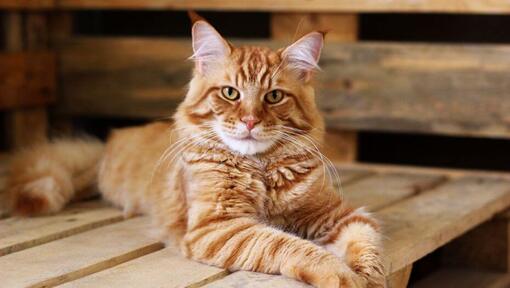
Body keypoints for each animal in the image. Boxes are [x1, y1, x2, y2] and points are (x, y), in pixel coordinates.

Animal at [5, 16, 384, 288]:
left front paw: (369, 277)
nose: (249, 120)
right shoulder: (218, 227)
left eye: (274, 96)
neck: (260, 167)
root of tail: (111, 141)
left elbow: (369, 246)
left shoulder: (338, 214)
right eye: (230, 93)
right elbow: (287, 245)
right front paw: (341, 274)